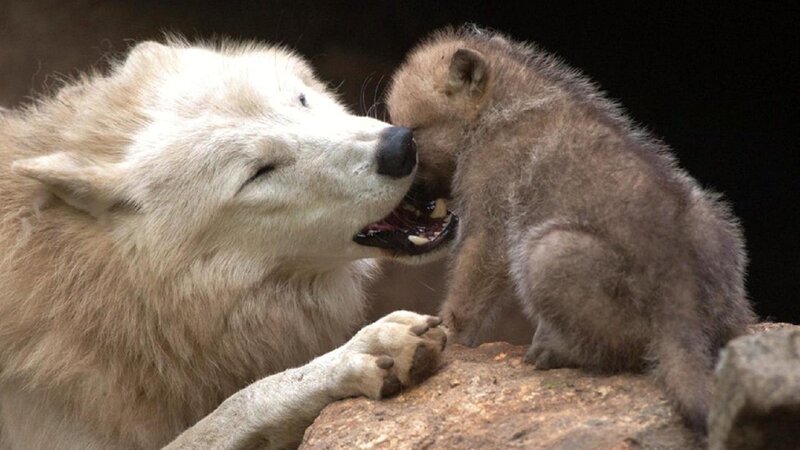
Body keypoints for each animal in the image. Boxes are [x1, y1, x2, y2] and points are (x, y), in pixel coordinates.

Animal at [386, 26, 755, 432]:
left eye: (412, 133)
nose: (400, 201)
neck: (499, 108)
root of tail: (681, 302)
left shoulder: (490, 219)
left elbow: (466, 293)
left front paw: (445, 333)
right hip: (714, 224)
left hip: (547, 253)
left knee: (624, 348)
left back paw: (550, 350)